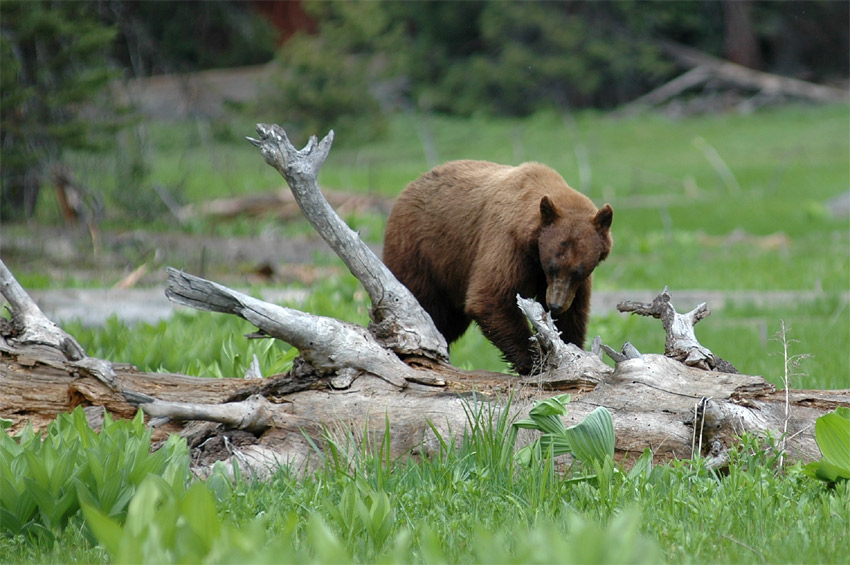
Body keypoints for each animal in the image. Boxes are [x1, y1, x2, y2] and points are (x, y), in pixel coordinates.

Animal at [382, 159, 608, 374]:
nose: (555, 305)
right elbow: (491, 296)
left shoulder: (570, 284)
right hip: (421, 252)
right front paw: (534, 361)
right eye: (551, 267)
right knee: (426, 306)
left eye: (578, 272)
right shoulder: (507, 243)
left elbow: (573, 314)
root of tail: (407, 189)